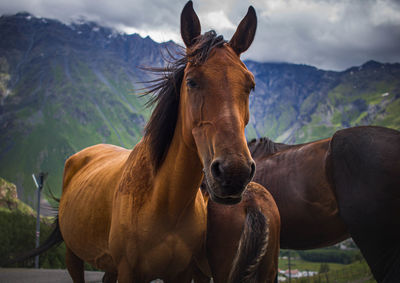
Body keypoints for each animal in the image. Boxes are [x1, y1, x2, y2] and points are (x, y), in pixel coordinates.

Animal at [5, 2, 260, 283]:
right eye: (191, 81)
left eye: (250, 85)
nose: (233, 172)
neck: (166, 203)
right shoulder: (128, 271)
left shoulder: (181, 273)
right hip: (74, 255)